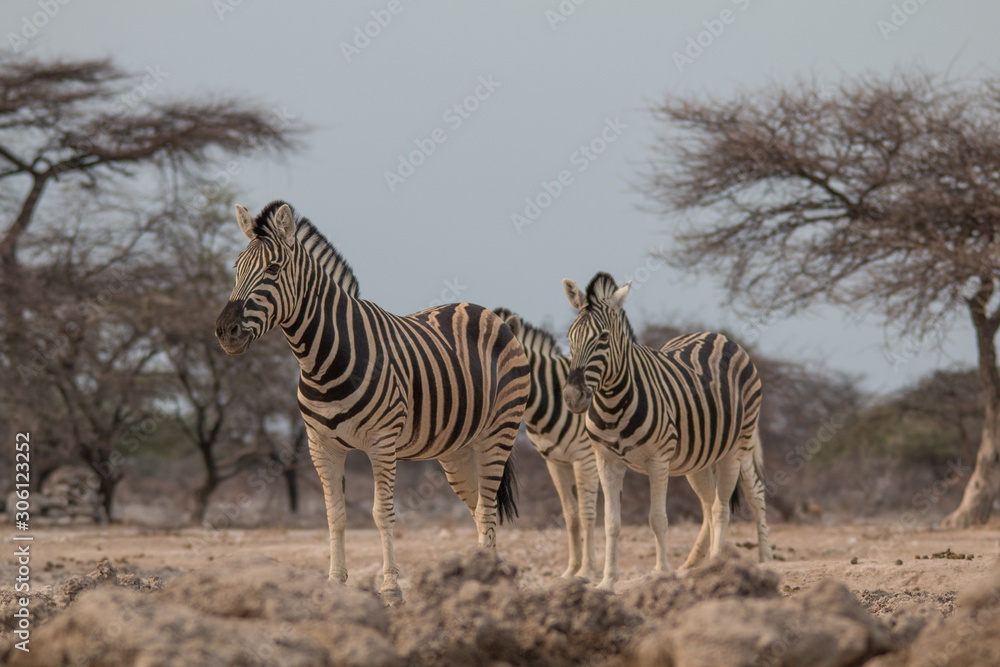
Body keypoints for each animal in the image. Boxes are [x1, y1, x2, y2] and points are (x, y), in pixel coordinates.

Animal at [214, 201, 530, 601]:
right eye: (236, 268)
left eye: (273, 269)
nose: (224, 331)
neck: (322, 360)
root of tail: (486, 312)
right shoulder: (321, 445)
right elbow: (335, 514)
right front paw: (335, 583)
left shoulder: (382, 442)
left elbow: (382, 513)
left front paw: (391, 589)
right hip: (457, 449)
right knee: (477, 509)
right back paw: (481, 580)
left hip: (498, 432)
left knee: (487, 510)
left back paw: (492, 585)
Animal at [492, 307, 599, 580]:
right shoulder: (556, 462)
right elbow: (571, 515)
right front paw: (571, 570)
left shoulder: (585, 458)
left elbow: (586, 514)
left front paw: (586, 570)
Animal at [561, 272, 772, 592]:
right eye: (570, 337)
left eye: (603, 338)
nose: (572, 397)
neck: (612, 403)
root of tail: (718, 335)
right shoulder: (606, 461)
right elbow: (611, 523)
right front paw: (607, 581)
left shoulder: (657, 460)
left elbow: (657, 518)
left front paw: (661, 573)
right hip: (699, 459)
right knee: (710, 504)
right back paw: (705, 565)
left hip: (738, 448)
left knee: (736, 502)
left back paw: (753, 561)